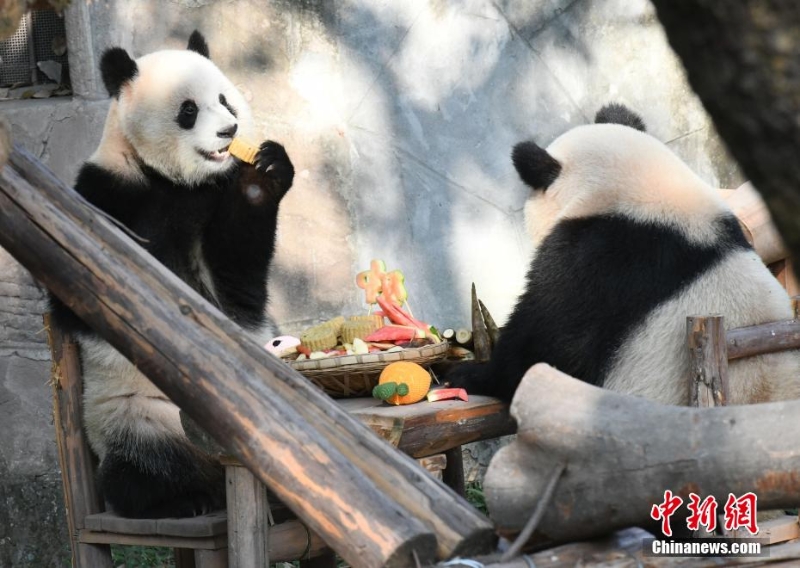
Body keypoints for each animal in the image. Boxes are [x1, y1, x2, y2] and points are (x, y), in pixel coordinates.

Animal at [49, 31, 294, 520]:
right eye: (188, 110)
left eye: (225, 100)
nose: (229, 131)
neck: (175, 181)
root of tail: (217, 470)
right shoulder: (110, 196)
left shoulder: (213, 203)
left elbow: (238, 281)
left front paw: (266, 172)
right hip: (132, 415)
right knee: (136, 469)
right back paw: (184, 500)